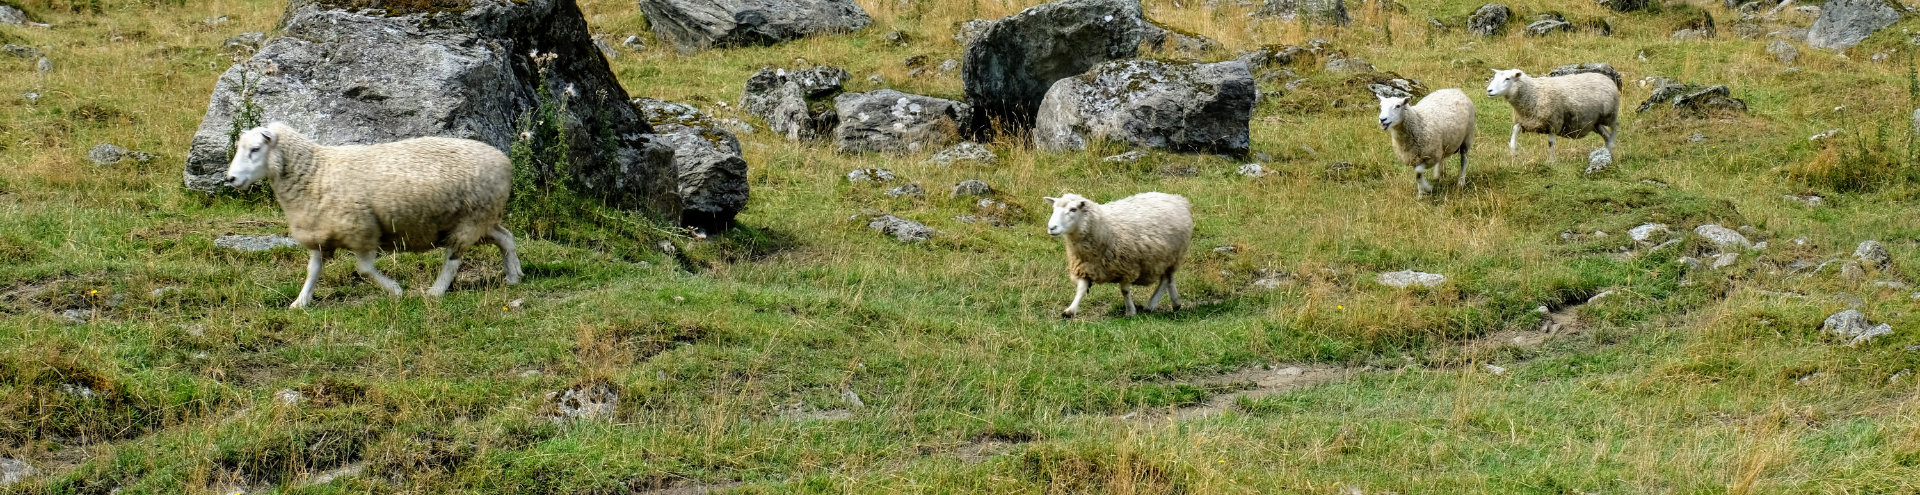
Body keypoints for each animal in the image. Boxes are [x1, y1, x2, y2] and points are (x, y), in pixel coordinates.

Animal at [223, 122, 523, 309]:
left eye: (255, 149)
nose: (230, 178)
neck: (316, 172)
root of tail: (505, 161)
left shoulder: (362, 230)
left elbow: (364, 269)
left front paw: (395, 290)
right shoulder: (320, 232)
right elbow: (313, 270)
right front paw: (301, 301)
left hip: (470, 219)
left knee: (453, 259)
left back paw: (436, 291)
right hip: (480, 218)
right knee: (506, 238)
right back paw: (514, 275)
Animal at [1043, 192, 1193, 318]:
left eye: (1073, 209)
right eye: (1054, 209)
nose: (1051, 228)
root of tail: (1177, 198)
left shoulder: (1128, 267)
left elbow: (1125, 291)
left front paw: (1130, 311)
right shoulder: (1085, 266)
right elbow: (1081, 289)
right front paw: (1070, 310)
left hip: (1172, 255)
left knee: (1166, 279)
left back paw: (1152, 304)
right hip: (1164, 258)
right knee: (1169, 279)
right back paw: (1176, 303)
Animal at [1485, 69, 1619, 161]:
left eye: (1507, 78)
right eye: (1494, 77)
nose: (1489, 90)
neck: (1533, 93)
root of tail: (1607, 78)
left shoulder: (1554, 122)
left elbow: (1550, 143)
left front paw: (1552, 161)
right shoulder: (1524, 121)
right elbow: (1514, 131)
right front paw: (1513, 151)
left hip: (1610, 114)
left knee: (1615, 127)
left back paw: (1612, 146)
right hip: (1595, 122)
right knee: (1606, 135)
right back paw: (1609, 152)